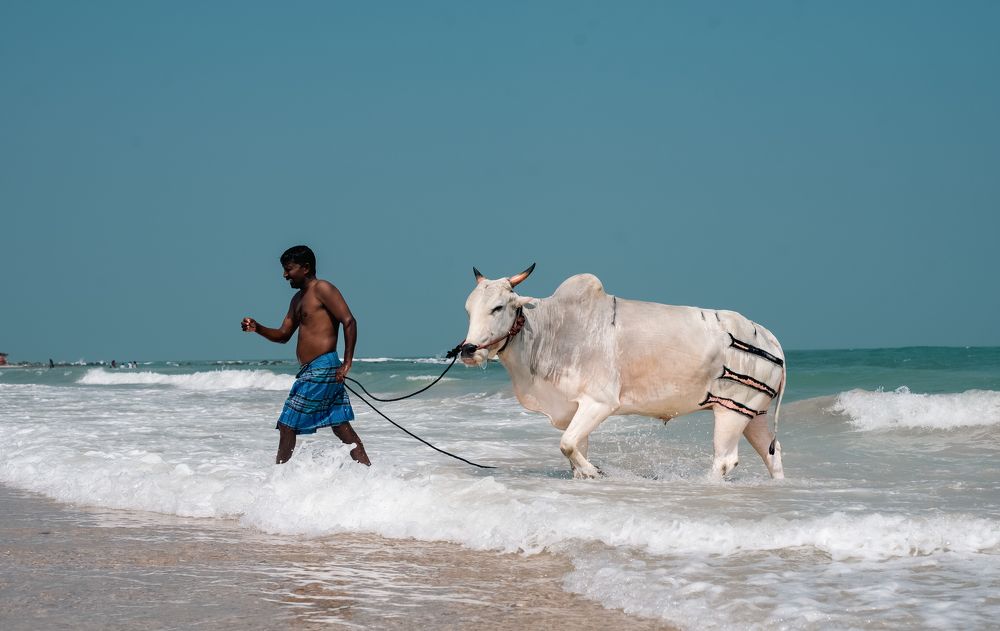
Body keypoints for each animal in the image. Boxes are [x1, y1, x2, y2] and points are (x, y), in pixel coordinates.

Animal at [459, 264, 786, 480]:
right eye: (468, 309)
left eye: (498, 307)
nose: (467, 350)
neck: (552, 330)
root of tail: (771, 338)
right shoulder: (576, 408)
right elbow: (576, 450)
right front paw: (587, 474)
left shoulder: (599, 402)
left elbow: (567, 445)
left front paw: (597, 472)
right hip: (752, 414)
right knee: (772, 453)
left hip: (730, 411)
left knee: (724, 461)